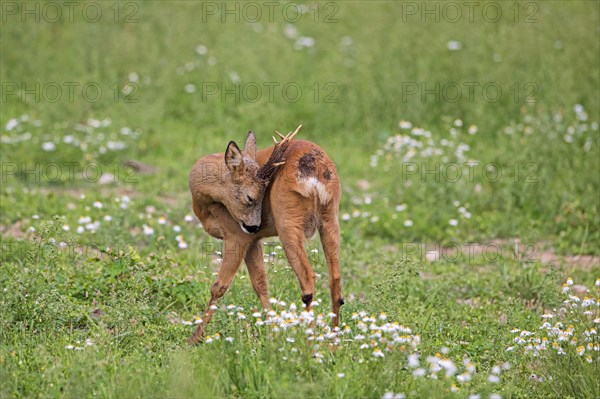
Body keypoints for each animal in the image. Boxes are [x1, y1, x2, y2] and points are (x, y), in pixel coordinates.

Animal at [190, 126, 344, 346]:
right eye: (251, 197)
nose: (256, 226)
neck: (204, 203)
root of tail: (315, 171)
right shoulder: (253, 241)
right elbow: (261, 285)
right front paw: (272, 336)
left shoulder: (236, 235)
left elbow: (219, 286)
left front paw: (194, 338)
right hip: (330, 217)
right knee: (336, 280)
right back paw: (333, 343)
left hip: (288, 221)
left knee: (308, 278)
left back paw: (309, 342)